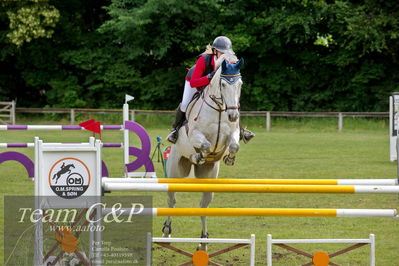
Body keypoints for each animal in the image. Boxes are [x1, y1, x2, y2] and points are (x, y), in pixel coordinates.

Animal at [162, 54, 244, 249]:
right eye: (223, 85)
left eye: (240, 84)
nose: (233, 116)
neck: (220, 110)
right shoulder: (195, 135)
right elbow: (205, 146)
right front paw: (199, 155)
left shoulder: (232, 134)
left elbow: (234, 145)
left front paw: (229, 159)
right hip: (175, 172)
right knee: (171, 200)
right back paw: (167, 233)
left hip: (208, 177)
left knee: (203, 206)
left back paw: (204, 241)